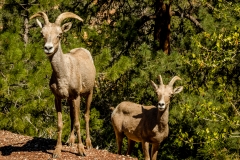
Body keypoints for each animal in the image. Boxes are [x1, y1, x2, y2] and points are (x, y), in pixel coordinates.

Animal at [30, 12, 96, 158]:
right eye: (42, 33)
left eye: (59, 34)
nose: (48, 48)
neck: (64, 74)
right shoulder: (58, 98)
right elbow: (60, 124)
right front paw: (57, 151)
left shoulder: (76, 96)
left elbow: (77, 122)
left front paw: (81, 150)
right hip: (70, 100)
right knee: (72, 116)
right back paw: (70, 142)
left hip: (89, 93)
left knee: (86, 116)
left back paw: (88, 144)